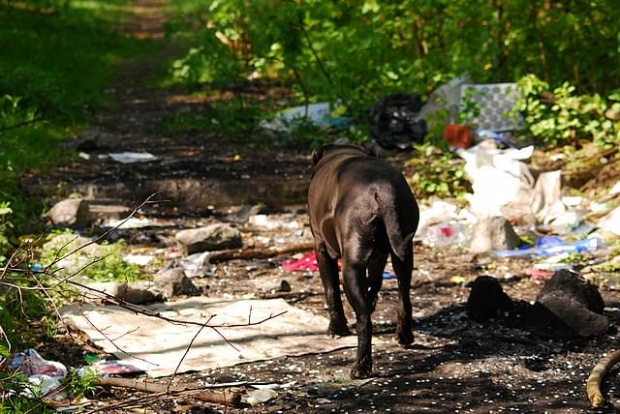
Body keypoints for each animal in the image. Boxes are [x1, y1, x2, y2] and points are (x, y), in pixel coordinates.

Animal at [308, 145, 418, 378]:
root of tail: (381, 190)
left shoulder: (321, 247)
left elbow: (331, 291)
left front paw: (336, 328)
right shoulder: (380, 256)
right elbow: (374, 282)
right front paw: (371, 298)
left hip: (351, 267)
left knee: (364, 321)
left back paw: (361, 366)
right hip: (403, 255)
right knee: (404, 300)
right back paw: (403, 336)